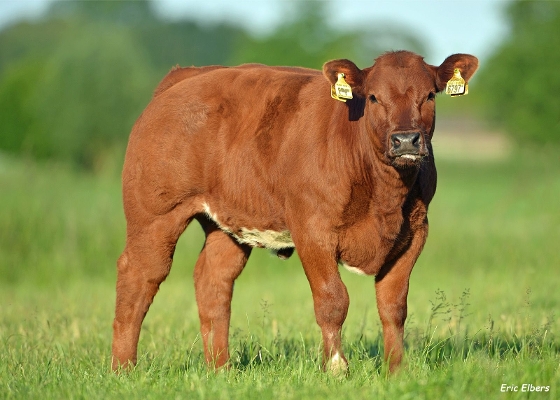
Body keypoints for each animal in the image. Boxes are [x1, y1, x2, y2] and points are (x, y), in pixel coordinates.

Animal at [112, 50, 476, 372]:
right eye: (373, 97)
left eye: (429, 96)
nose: (406, 140)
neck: (384, 196)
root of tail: (186, 75)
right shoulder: (312, 230)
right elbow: (332, 301)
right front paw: (336, 369)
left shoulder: (414, 233)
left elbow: (393, 306)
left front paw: (395, 370)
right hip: (155, 214)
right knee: (140, 276)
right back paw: (124, 369)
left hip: (226, 222)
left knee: (213, 281)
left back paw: (221, 369)